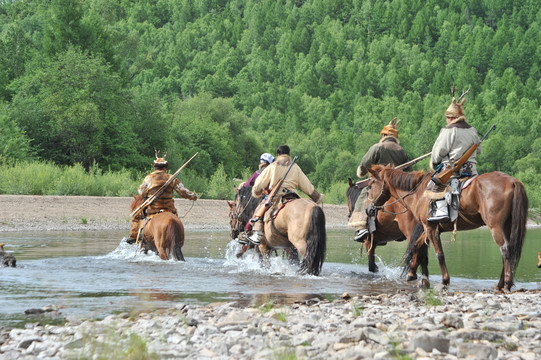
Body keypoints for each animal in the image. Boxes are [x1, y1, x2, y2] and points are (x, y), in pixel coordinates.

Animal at [364, 165, 524, 292]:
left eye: (371, 184)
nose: (368, 209)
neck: (418, 194)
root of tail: (513, 181)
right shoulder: (428, 229)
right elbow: (417, 247)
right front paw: (416, 276)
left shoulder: (431, 228)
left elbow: (438, 254)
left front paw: (444, 282)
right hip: (506, 226)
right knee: (508, 251)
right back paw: (500, 284)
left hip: (495, 226)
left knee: (505, 250)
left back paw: (506, 284)